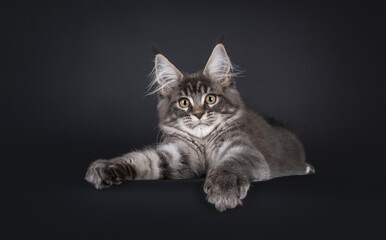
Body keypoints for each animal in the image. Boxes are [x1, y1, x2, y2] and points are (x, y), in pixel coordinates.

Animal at [84, 41, 314, 212]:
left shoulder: (244, 149)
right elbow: (141, 158)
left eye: (210, 99)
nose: (198, 114)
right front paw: (105, 168)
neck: (203, 144)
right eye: (184, 103)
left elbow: (231, 163)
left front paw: (224, 189)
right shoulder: (177, 158)